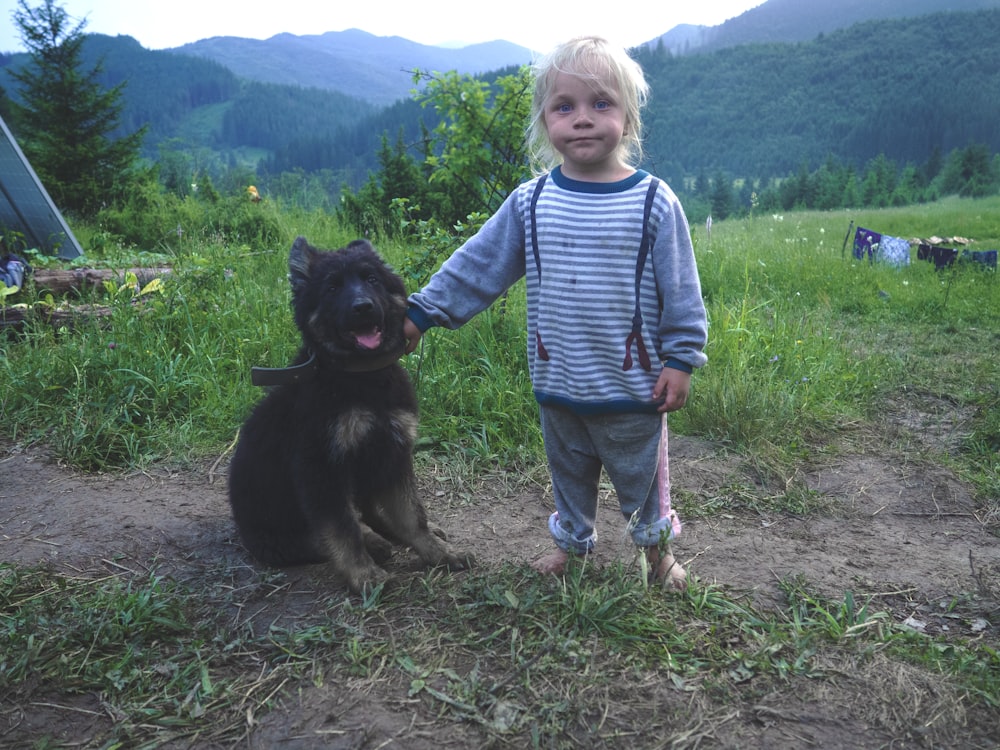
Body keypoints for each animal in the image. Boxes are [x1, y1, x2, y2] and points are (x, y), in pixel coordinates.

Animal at [230, 239, 472, 592]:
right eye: (332, 288)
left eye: (371, 280)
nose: (363, 307)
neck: (361, 377)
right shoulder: (321, 468)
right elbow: (342, 528)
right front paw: (363, 574)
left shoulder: (395, 451)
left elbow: (412, 514)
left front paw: (437, 551)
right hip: (276, 531)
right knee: (317, 537)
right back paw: (374, 543)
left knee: (370, 511)